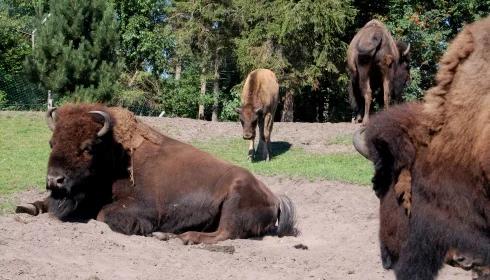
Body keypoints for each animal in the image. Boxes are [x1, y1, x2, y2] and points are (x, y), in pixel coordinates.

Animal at [17, 104, 296, 244]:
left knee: (224, 233)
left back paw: (182, 237)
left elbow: (103, 214)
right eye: (51, 143)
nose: (55, 180)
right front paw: (26, 207)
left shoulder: (146, 207)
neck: (116, 154)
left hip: (233, 200)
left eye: (87, 147)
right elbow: (41, 204)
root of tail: (274, 198)